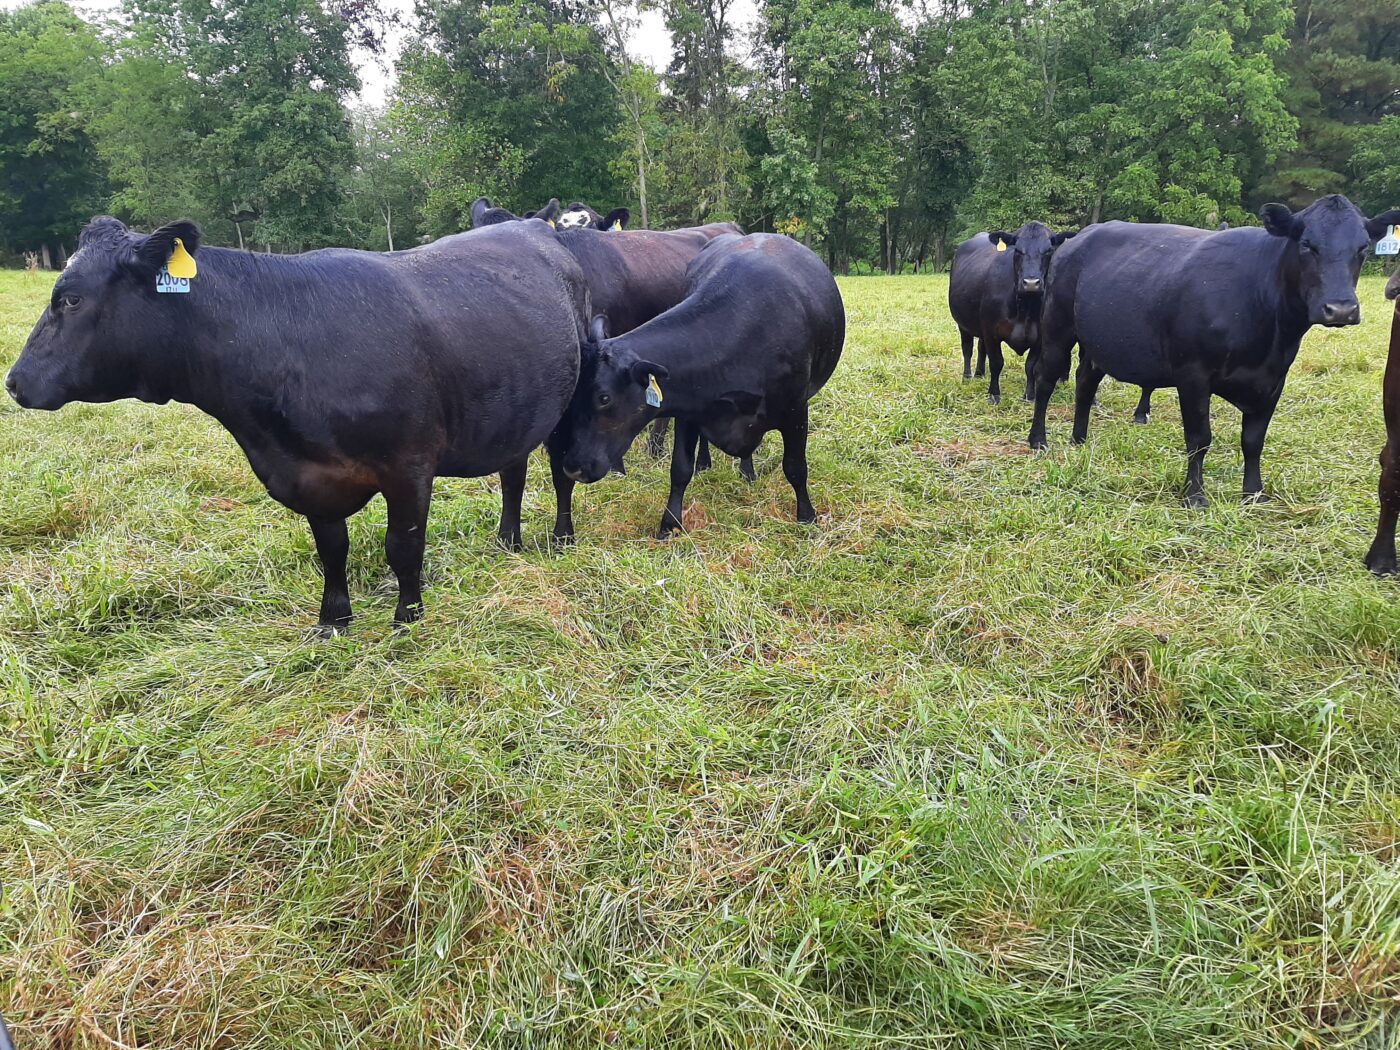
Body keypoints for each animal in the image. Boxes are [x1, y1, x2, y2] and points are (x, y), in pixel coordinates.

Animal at [5, 216, 589, 632]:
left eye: (70, 299)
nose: (14, 381)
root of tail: (534, 225)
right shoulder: (311, 476)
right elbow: (332, 550)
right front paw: (333, 620)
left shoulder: (409, 466)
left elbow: (402, 547)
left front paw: (408, 617)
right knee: (513, 474)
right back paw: (508, 540)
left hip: (575, 398)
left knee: (561, 474)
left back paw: (561, 536)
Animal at [553, 233, 844, 538]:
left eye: (604, 398)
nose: (572, 467)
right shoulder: (688, 409)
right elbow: (680, 469)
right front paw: (669, 523)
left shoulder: (796, 410)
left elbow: (795, 467)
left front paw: (807, 517)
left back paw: (747, 473)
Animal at [948, 222, 1075, 404]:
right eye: (1018, 250)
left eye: (1048, 251)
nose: (1031, 283)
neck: (1025, 309)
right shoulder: (991, 332)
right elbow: (996, 363)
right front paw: (994, 395)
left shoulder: (1039, 338)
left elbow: (1031, 366)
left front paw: (1030, 395)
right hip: (963, 324)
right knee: (968, 348)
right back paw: (967, 377)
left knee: (980, 347)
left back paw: (980, 373)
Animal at [1028, 194, 1400, 506]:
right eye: (1308, 245)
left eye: (1362, 248)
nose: (1341, 309)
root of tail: (1078, 238)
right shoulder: (1193, 374)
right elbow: (1199, 437)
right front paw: (1194, 495)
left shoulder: (1274, 380)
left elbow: (1253, 440)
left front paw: (1254, 494)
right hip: (1057, 329)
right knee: (1046, 382)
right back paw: (1038, 440)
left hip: (1097, 341)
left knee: (1085, 381)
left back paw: (1079, 438)